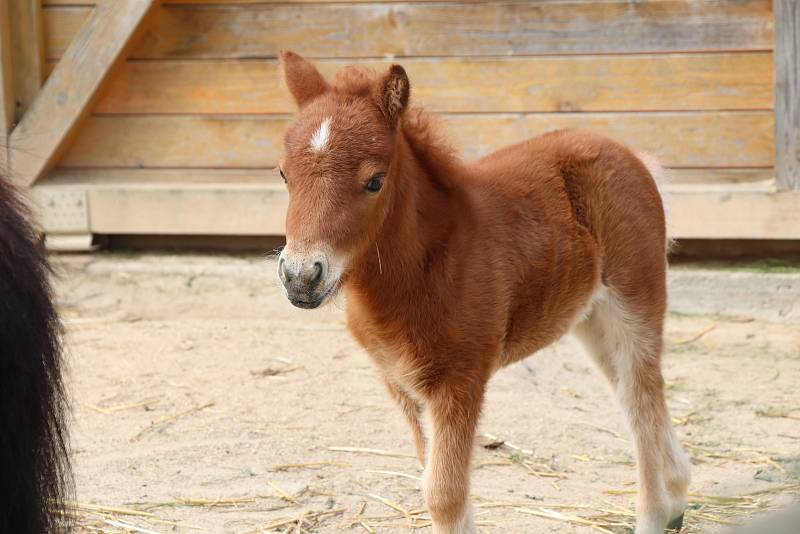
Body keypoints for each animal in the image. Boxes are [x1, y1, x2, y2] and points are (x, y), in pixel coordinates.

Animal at [276, 51, 688, 534]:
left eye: (375, 181)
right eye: (283, 174)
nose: (300, 277)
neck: (429, 264)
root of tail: (633, 156)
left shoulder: (461, 380)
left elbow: (444, 495)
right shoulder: (399, 381)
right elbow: (430, 474)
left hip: (634, 302)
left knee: (641, 402)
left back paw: (656, 512)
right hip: (592, 319)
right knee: (634, 394)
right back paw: (677, 497)